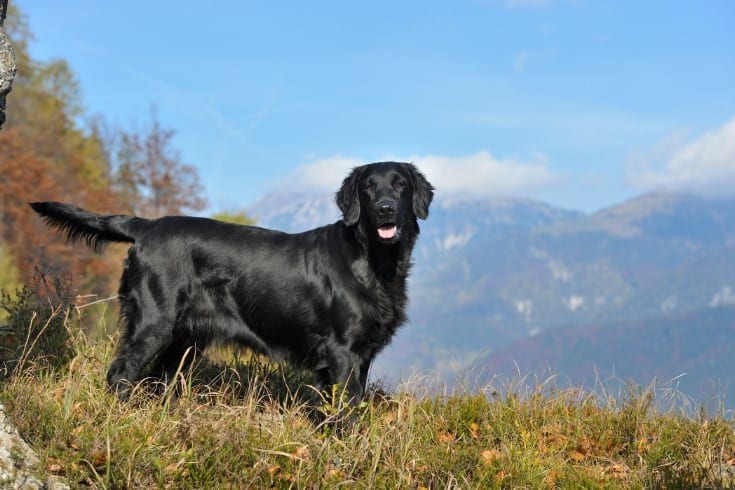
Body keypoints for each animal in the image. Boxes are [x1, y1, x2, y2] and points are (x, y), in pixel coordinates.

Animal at [30, 163, 432, 404]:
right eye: (368, 187)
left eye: (400, 184)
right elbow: (345, 412)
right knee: (120, 374)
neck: (374, 260)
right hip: (153, 323)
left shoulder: (362, 355)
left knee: (157, 380)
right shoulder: (342, 352)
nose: (385, 209)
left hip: (184, 341)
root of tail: (147, 226)